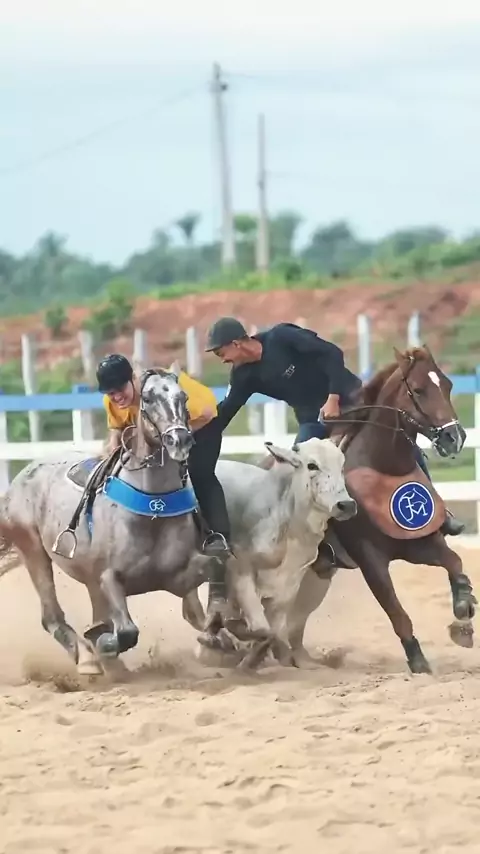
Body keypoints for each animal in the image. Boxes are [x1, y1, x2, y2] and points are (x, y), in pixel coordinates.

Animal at [0, 366, 234, 677]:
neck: (153, 510)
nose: (179, 440)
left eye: (183, 397)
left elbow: (213, 571)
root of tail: (20, 478)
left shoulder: (177, 576)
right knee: (52, 616)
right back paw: (88, 660)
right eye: (148, 398)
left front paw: (219, 634)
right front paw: (101, 643)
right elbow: (125, 631)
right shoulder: (108, 577)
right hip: (32, 549)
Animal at [276, 345, 478, 675]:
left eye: (448, 385)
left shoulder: (419, 541)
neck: (383, 468)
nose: (454, 437)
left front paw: (463, 609)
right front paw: (418, 661)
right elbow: (396, 612)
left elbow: (455, 562)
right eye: (418, 390)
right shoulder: (370, 560)